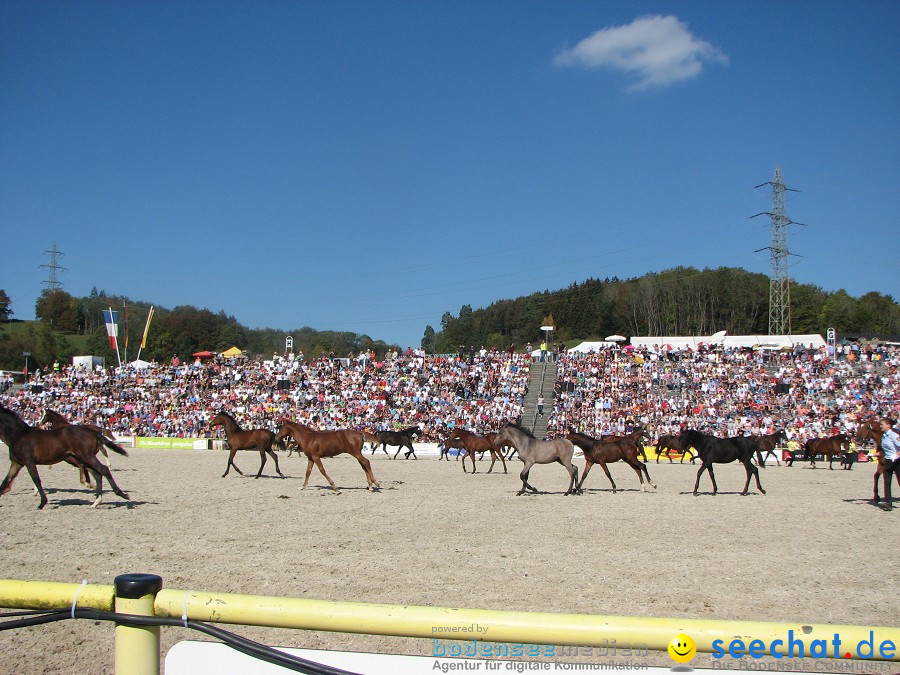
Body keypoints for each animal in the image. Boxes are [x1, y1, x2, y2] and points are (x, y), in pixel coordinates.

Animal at [0, 404, 130, 510]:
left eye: (45, 414)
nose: (40, 423)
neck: (18, 434)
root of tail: (93, 431)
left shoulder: (29, 462)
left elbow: (36, 479)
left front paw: (42, 503)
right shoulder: (16, 463)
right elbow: (5, 481)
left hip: (86, 456)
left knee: (103, 469)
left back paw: (122, 494)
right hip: (83, 458)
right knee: (97, 473)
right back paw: (96, 501)